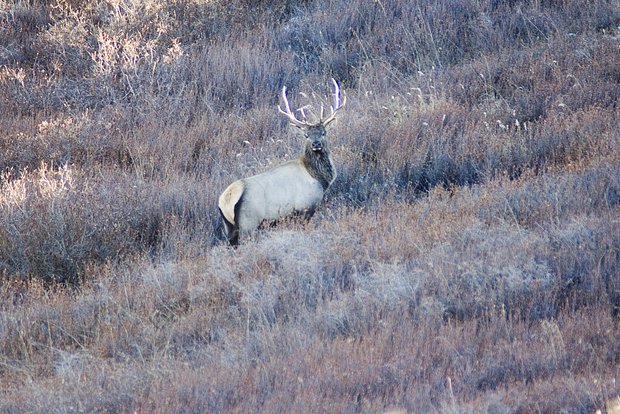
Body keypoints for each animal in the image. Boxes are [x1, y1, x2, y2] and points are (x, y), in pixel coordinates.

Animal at [218, 79, 346, 244]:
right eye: (306, 135)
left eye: (323, 132)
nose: (316, 144)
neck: (319, 178)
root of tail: (226, 200)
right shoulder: (305, 208)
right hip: (249, 222)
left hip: (228, 227)